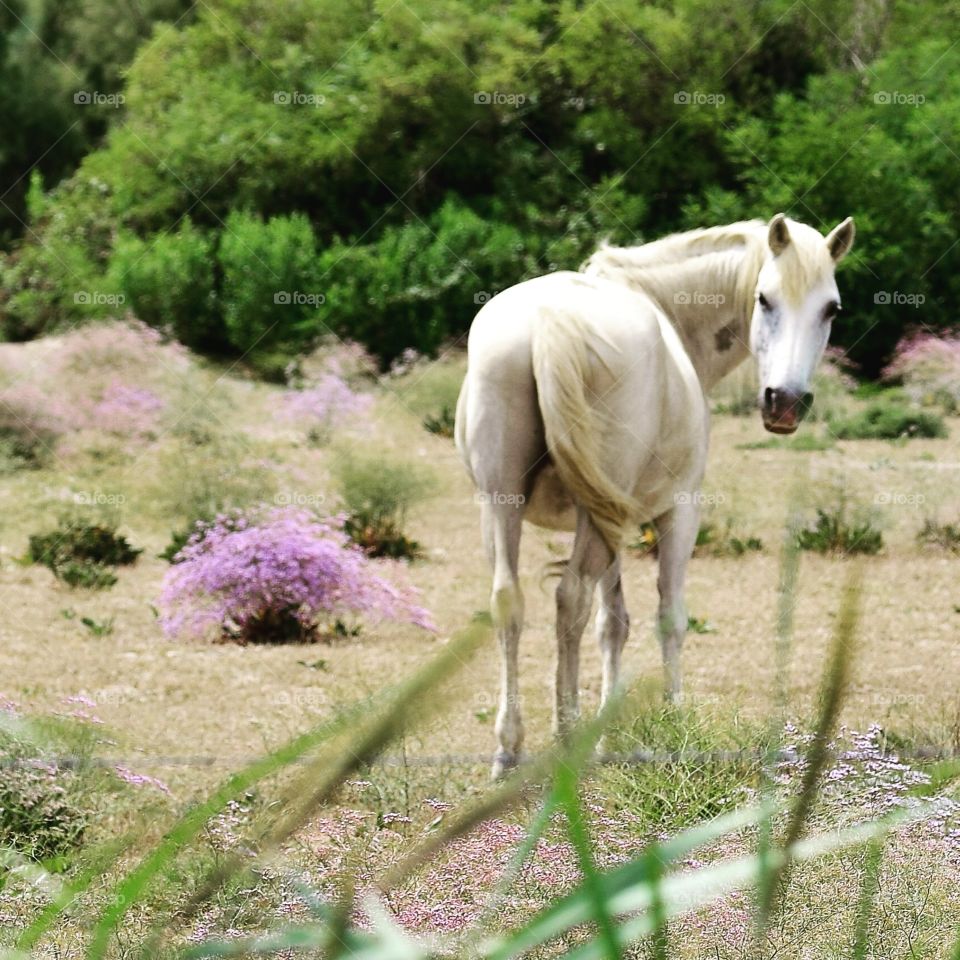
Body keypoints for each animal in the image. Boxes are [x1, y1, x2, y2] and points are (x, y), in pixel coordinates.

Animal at [454, 213, 856, 778]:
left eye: (831, 308)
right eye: (765, 299)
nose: (786, 402)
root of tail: (551, 319)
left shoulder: (611, 519)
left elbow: (613, 624)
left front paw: (609, 739)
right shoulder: (678, 514)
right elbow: (670, 618)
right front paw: (673, 729)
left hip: (501, 507)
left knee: (511, 604)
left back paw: (510, 752)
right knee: (570, 599)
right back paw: (566, 738)